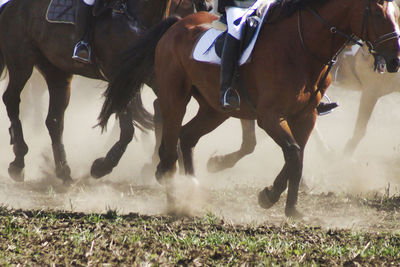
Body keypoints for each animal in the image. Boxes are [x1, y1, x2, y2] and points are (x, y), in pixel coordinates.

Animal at [0, 0, 212, 184]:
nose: (208, 6)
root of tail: (11, 6)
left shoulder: (155, 77)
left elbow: (164, 113)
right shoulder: (120, 77)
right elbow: (128, 129)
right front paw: (102, 166)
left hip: (57, 72)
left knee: (54, 120)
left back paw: (63, 171)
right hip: (22, 62)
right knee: (11, 99)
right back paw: (18, 162)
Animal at [99, 0, 400, 218]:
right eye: (377, 12)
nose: (395, 60)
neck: (300, 47)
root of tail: (176, 25)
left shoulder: (306, 116)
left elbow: (297, 157)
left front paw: (283, 203)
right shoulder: (270, 117)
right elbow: (293, 153)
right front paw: (277, 200)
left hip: (214, 109)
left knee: (187, 136)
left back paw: (192, 188)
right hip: (175, 97)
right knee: (169, 146)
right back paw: (174, 194)